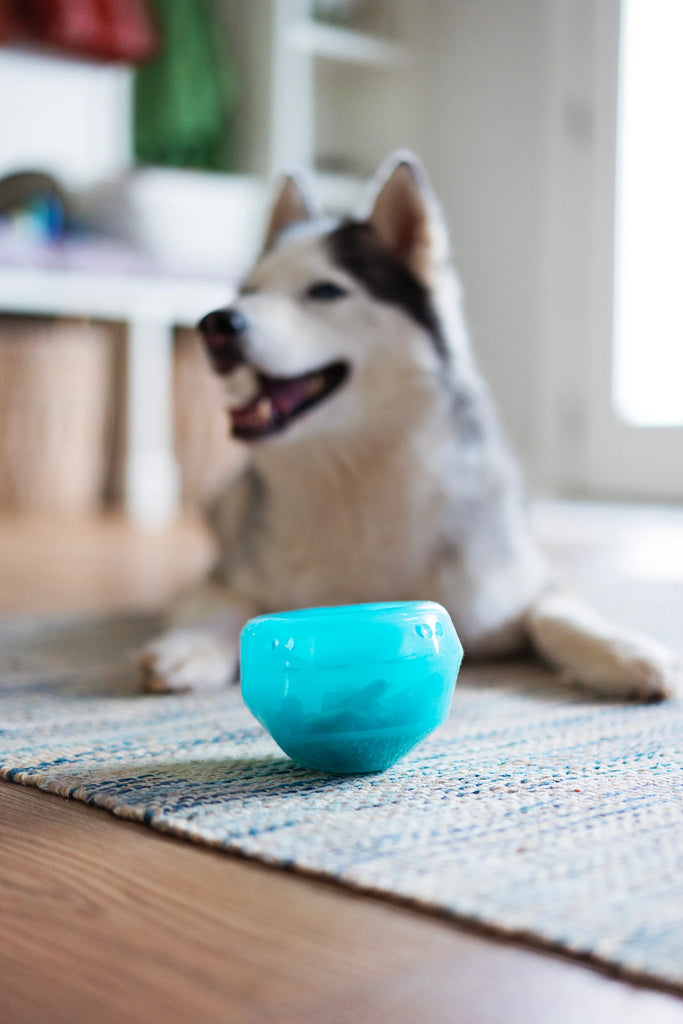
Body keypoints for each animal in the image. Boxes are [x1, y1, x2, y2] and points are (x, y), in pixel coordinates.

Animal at [137, 151, 679, 700]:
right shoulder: (227, 577)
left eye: (325, 291)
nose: (216, 325)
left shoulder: (516, 583)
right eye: (247, 292)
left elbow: (556, 614)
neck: (352, 474)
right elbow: (226, 606)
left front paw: (625, 653)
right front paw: (191, 648)